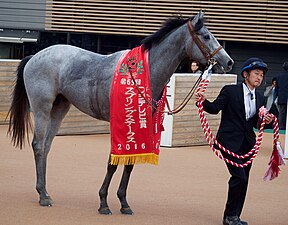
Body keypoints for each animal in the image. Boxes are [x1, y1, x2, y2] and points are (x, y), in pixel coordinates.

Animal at [7, 11, 233, 215]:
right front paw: (103, 202)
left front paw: (124, 202)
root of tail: (35, 56)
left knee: (46, 146)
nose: (228, 62)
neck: (143, 72)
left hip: (60, 107)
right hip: (42, 108)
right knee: (38, 145)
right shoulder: (120, 124)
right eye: (206, 36)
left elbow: (130, 163)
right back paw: (43, 196)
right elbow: (112, 163)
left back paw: (45, 191)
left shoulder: (138, 125)